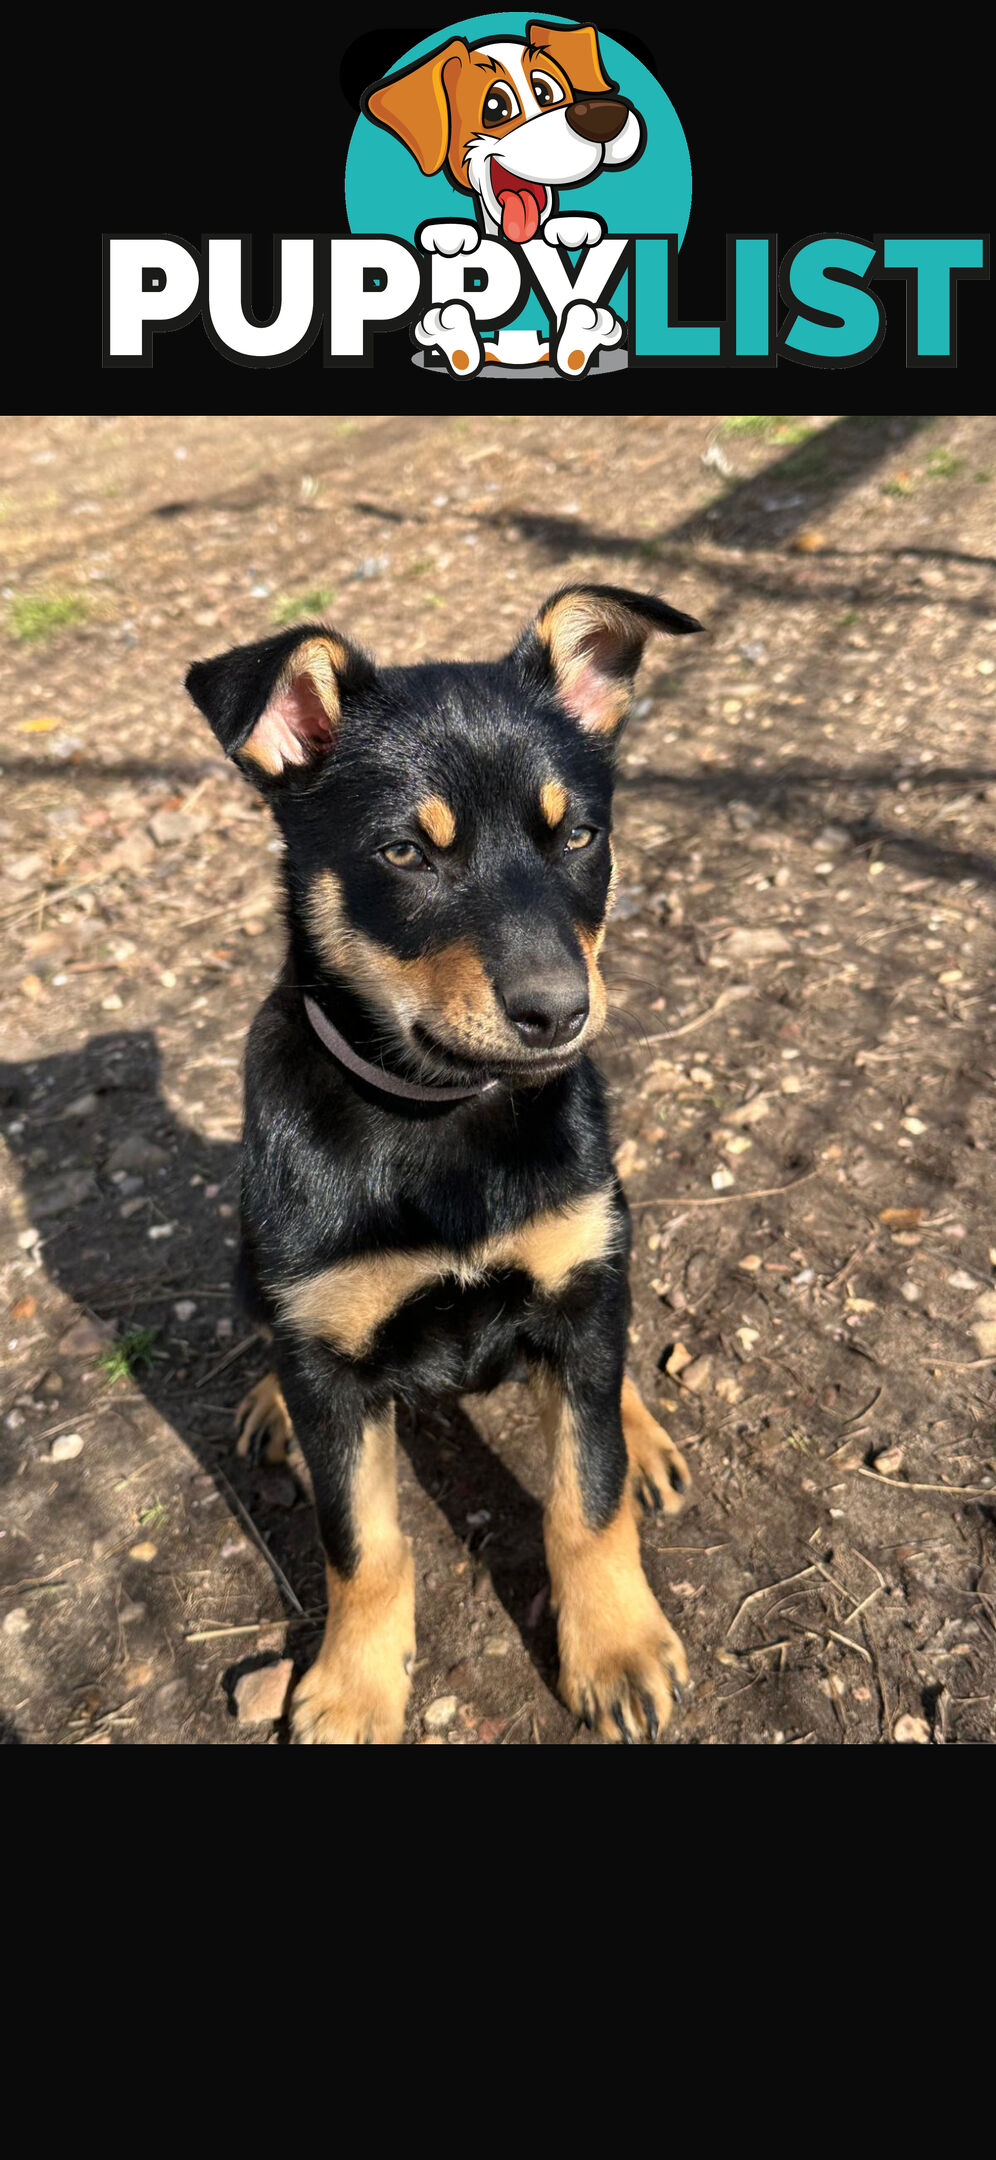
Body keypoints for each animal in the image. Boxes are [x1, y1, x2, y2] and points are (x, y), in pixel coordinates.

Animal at [184, 583, 700, 1745]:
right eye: (405, 855)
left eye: (581, 834)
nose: (560, 1012)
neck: (442, 1116)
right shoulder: (333, 1359)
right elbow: (362, 1547)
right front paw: (352, 1687)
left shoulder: (575, 1272)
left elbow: (586, 1496)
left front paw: (616, 1645)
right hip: (249, 1265)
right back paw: (269, 1405)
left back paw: (640, 1429)